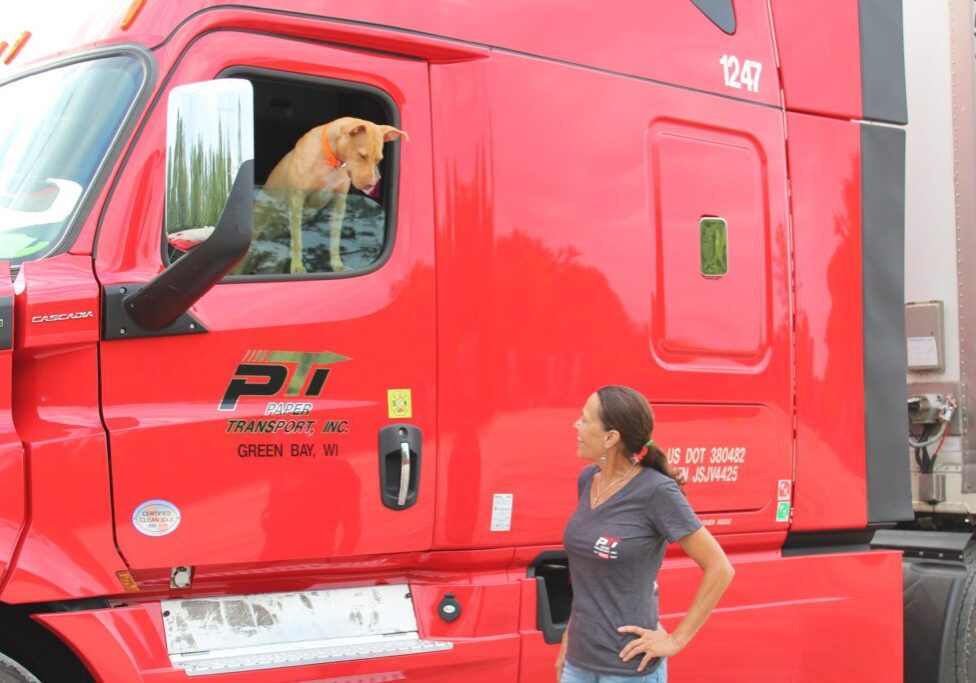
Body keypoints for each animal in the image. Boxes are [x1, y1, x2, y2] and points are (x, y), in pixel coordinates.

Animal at [260, 117, 408, 272]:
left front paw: (337, 264)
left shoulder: (339, 203)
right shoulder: (297, 200)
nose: (372, 185)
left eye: (378, 159)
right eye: (362, 155)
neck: (331, 158)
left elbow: (335, 238)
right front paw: (297, 267)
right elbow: (297, 239)